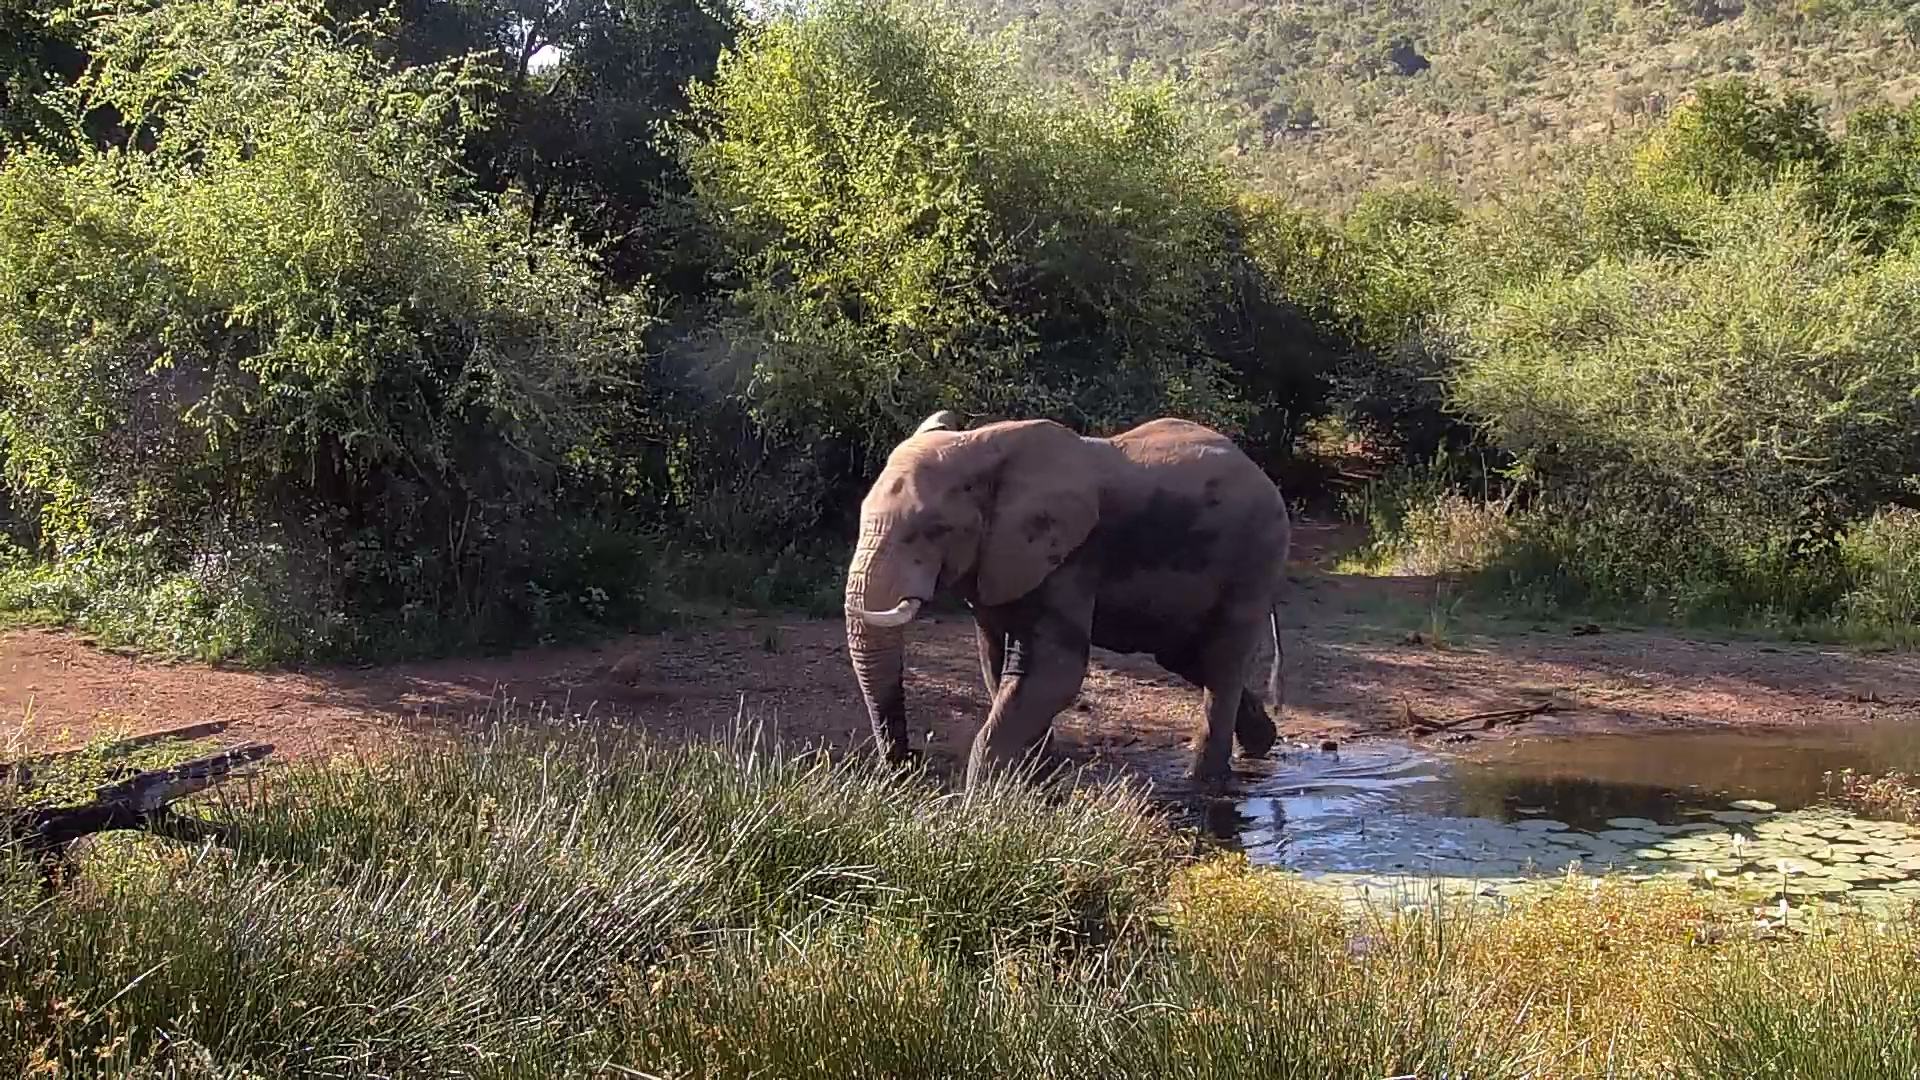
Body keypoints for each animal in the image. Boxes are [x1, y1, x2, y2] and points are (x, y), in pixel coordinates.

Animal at [843, 409, 1292, 789]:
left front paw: (981, 803)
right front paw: (1034, 780)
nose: (908, 763)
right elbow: (996, 664)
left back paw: (1202, 786)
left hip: (1255, 556)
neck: (984, 448)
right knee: (1187, 656)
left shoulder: (1070, 557)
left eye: (934, 530)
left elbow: (1053, 672)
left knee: (1222, 659)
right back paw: (1260, 746)